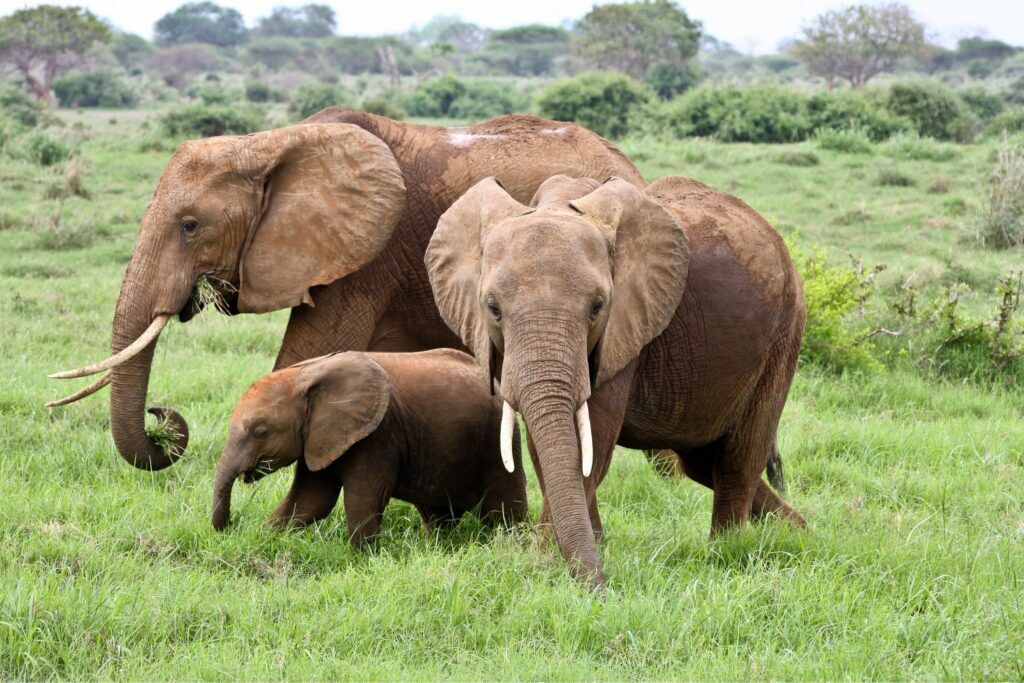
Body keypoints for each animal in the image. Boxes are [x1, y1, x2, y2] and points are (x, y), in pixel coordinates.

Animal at [207, 350, 528, 548]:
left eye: (260, 431)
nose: (232, 528)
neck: (304, 374)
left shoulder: (378, 435)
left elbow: (361, 499)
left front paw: (362, 560)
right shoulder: (322, 437)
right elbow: (310, 500)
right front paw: (265, 539)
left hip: (497, 443)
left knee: (506, 511)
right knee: (439, 516)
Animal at [425, 176, 806, 589]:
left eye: (597, 308)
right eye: (492, 309)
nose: (602, 588)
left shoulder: (625, 329)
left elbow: (593, 439)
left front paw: (548, 563)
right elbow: (552, 448)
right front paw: (576, 553)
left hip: (783, 335)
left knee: (738, 459)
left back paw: (727, 549)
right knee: (704, 462)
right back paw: (799, 530)